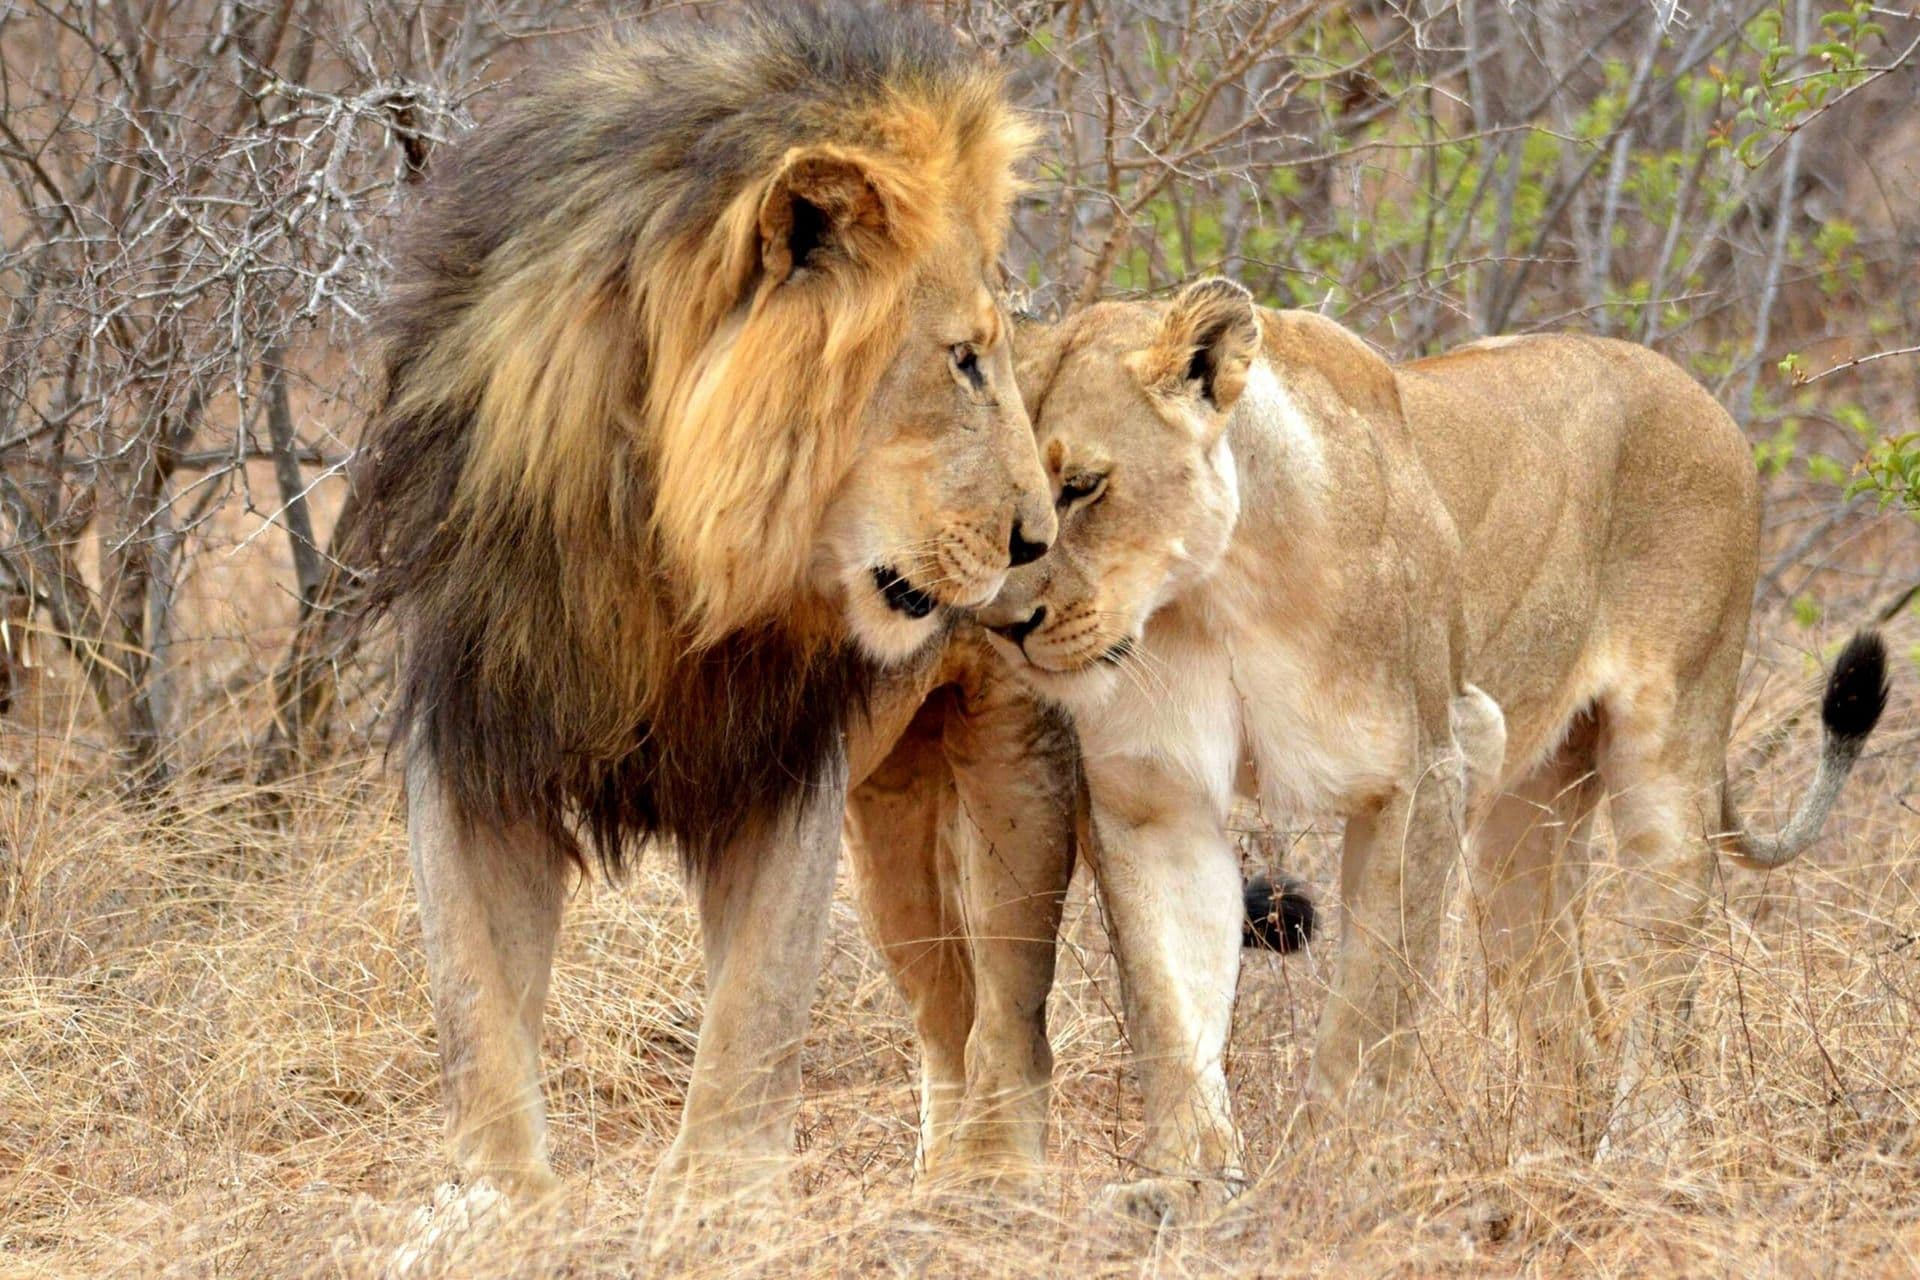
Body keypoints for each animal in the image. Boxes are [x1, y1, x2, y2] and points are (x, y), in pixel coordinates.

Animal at [349, 4, 1077, 1229]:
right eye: (965, 362)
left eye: (996, 358)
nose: (1040, 537)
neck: (658, 552)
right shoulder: (479, 737)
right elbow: (473, 998)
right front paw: (497, 1200)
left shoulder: (776, 766)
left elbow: (756, 1004)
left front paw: (720, 1198)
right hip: (891, 832)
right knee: (944, 1009)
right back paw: (933, 1182)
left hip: (1020, 778)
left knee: (1013, 1013)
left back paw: (996, 1184)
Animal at [918, 278, 1883, 1220]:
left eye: (1083, 486)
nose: (1002, 624)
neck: (1217, 592)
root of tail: (1694, 389)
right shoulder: (1154, 801)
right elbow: (1170, 1005)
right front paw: (1185, 1186)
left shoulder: (1433, 762)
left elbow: (1372, 1006)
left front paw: (1328, 1177)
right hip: (1519, 840)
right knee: (1573, 1021)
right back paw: (1548, 1172)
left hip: (1667, 766)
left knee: (1662, 986)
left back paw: (1637, 1162)